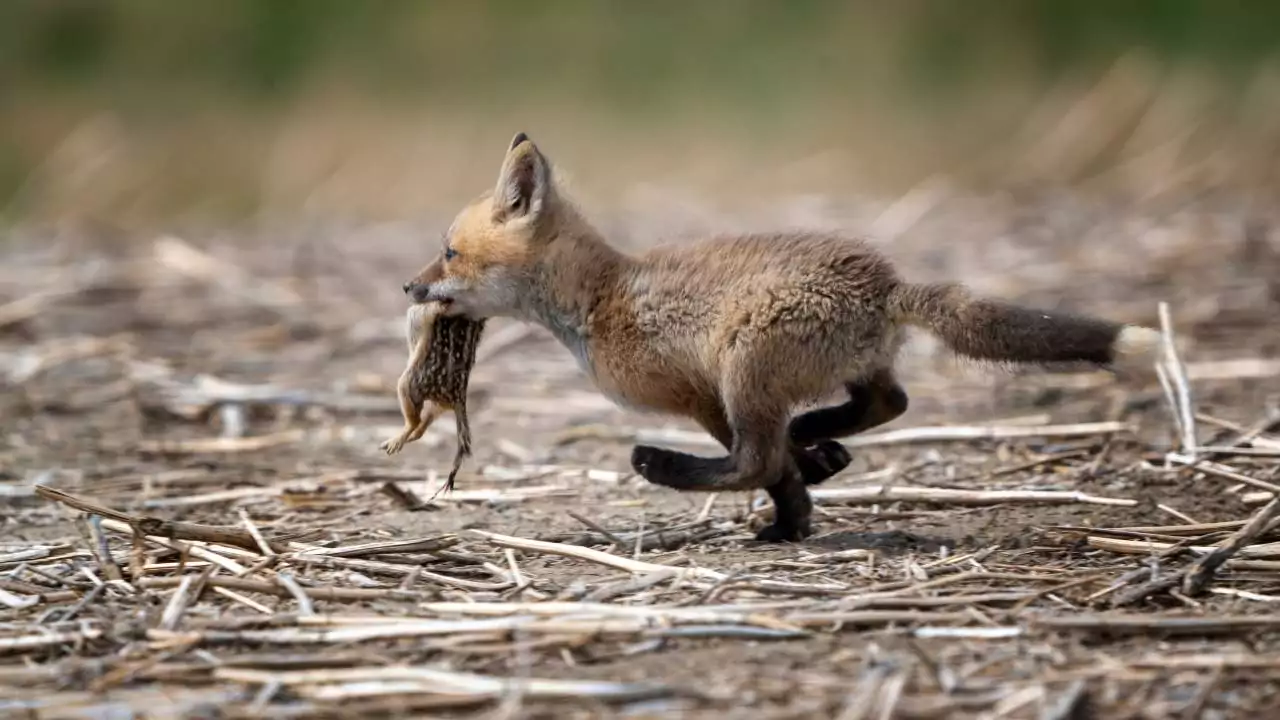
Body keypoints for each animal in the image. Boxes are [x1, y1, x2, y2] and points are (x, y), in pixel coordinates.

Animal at [402, 132, 1160, 542]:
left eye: (448, 253)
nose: (408, 288)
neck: (602, 298)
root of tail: (884, 283)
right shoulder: (717, 399)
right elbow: (791, 471)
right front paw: (804, 504)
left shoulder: (703, 395)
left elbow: (768, 470)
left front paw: (793, 518)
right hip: (841, 368)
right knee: (887, 404)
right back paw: (818, 441)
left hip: (748, 366)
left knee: (756, 458)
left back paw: (668, 466)